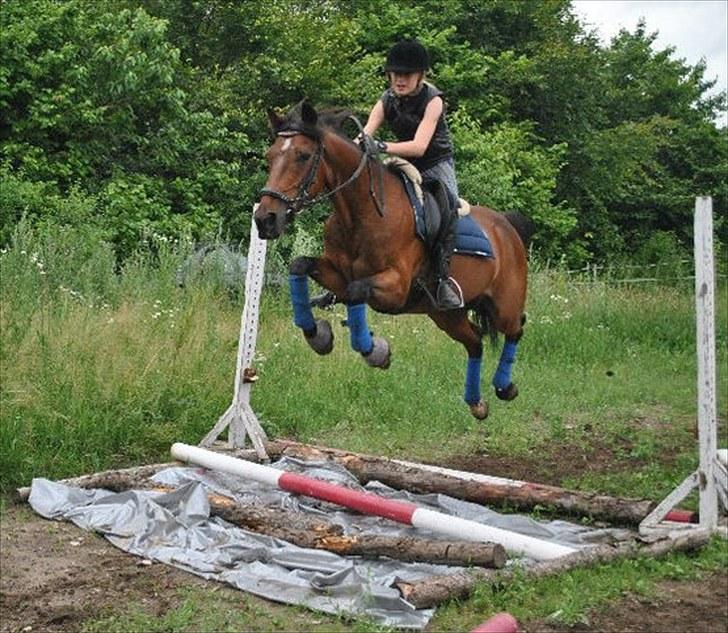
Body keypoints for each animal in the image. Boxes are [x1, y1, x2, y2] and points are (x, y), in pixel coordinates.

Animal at [256, 100, 528, 420]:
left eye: (303, 155)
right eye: (270, 156)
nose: (265, 219)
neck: (361, 213)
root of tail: (507, 227)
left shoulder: (396, 288)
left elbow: (357, 291)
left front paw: (376, 351)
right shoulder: (337, 274)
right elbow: (300, 265)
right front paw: (318, 335)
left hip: (503, 306)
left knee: (517, 328)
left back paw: (506, 387)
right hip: (446, 314)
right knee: (474, 341)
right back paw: (477, 403)